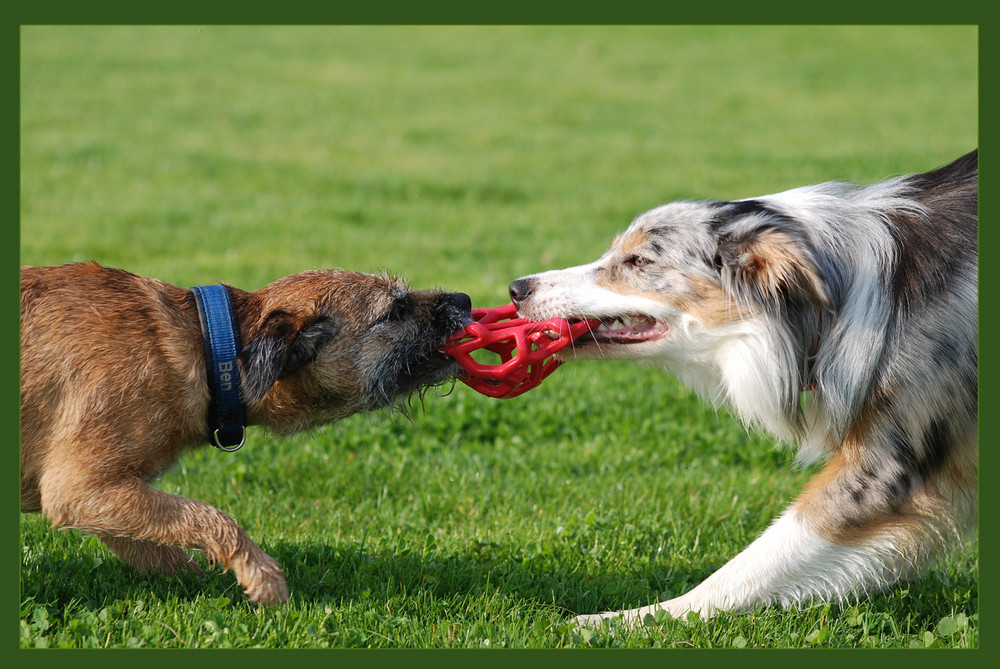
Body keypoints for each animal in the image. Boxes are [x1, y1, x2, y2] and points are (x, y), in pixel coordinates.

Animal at [20, 262, 472, 604]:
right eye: (395, 310)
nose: (464, 300)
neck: (207, 346)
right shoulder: (78, 488)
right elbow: (213, 517)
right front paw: (262, 576)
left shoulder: (109, 496)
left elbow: (152, 543)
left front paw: (197, 582)